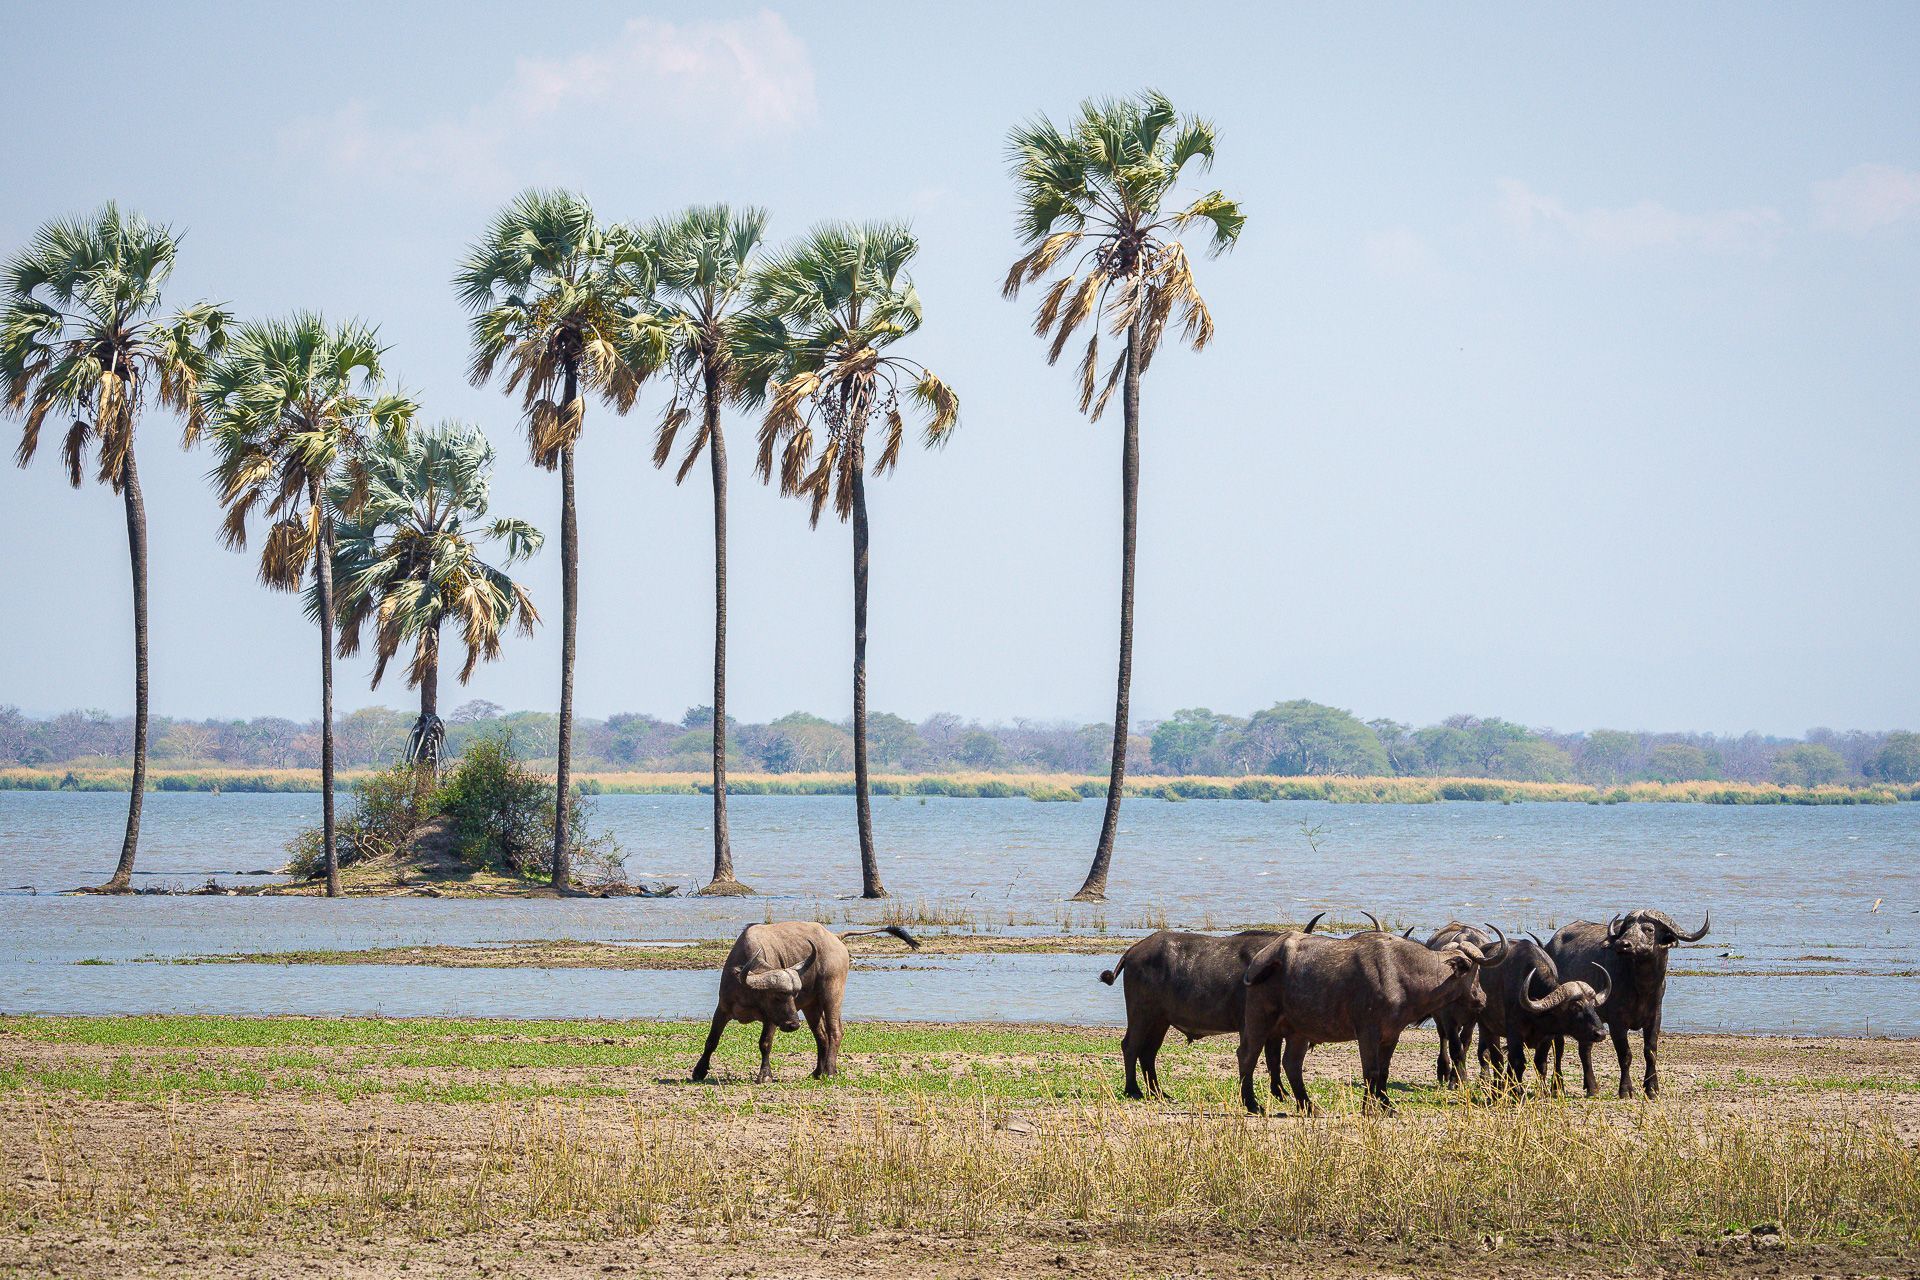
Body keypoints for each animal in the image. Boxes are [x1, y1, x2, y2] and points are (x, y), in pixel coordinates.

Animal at [690, 922, 919, 1084]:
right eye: (777, 996)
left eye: (793, 995)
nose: (793, 1024)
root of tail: (835, 938)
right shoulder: (722, 1009)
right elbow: (711, 1041)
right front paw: (699, 1070)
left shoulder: (771, 1019)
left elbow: (765, 1044)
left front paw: (765, 1075)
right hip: (812, 1007)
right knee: (821, 1035)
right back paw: (818, 1071)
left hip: (832, 994)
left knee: (835, 1030)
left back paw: (829, 1071)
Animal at [1098, 913, 1323, 1101]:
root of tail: (1132, 951)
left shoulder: (1273, 1031)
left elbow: (1273, 1060)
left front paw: (1281, 1093)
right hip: (1142, 1014)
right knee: (1130, 1046)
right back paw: (1133, 1090)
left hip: (1160, 1021)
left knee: (1148, 1053)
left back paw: (1160, 1093)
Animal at [1237, 924, 1506, 1114]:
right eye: (1475, 970)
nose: (1482, 999)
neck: (1402, 972)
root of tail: (1261, 958)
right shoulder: (1367, 1032)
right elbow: (1371, 1070)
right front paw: (1369, 1107)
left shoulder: (1391, 1034)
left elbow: (1384, 1070)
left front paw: (1386, 1104)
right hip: (1260, 1018)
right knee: (1248, 1056)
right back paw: (1252, 1104)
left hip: (1299, 1031)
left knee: (1291, 1064)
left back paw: (1308, 1105)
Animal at [1547, 909, 1709, 1098]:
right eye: (1627, 928)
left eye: (1649, 929)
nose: (1622, 944)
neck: (1641, 987)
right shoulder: (1617, 1023)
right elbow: (1625, 1055)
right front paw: (1625, 1089)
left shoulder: (1655, 1018)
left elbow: (1650, 1052)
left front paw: (1652, 1088)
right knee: (1559, 1049)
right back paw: (1557, 1087)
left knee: (1584, 1049)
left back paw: (1592, 1088)